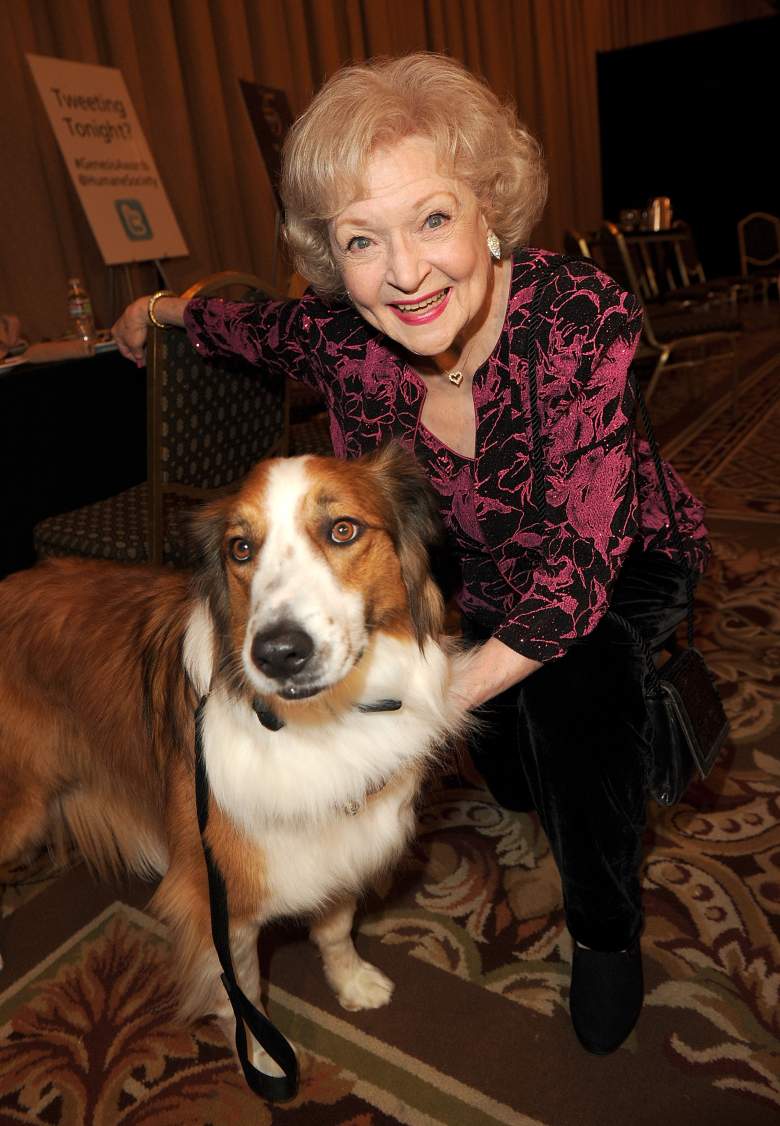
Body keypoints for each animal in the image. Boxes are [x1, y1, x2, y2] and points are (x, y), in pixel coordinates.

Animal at [0, 443, 468, 1076]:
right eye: (240, 549)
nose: (279, 653)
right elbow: (242, 986)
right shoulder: (216, 899)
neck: (321, 721)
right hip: (20, 807)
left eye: (343, 530)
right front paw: (264, 1056)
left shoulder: (339, 842)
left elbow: (336, 927)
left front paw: (350, 982)